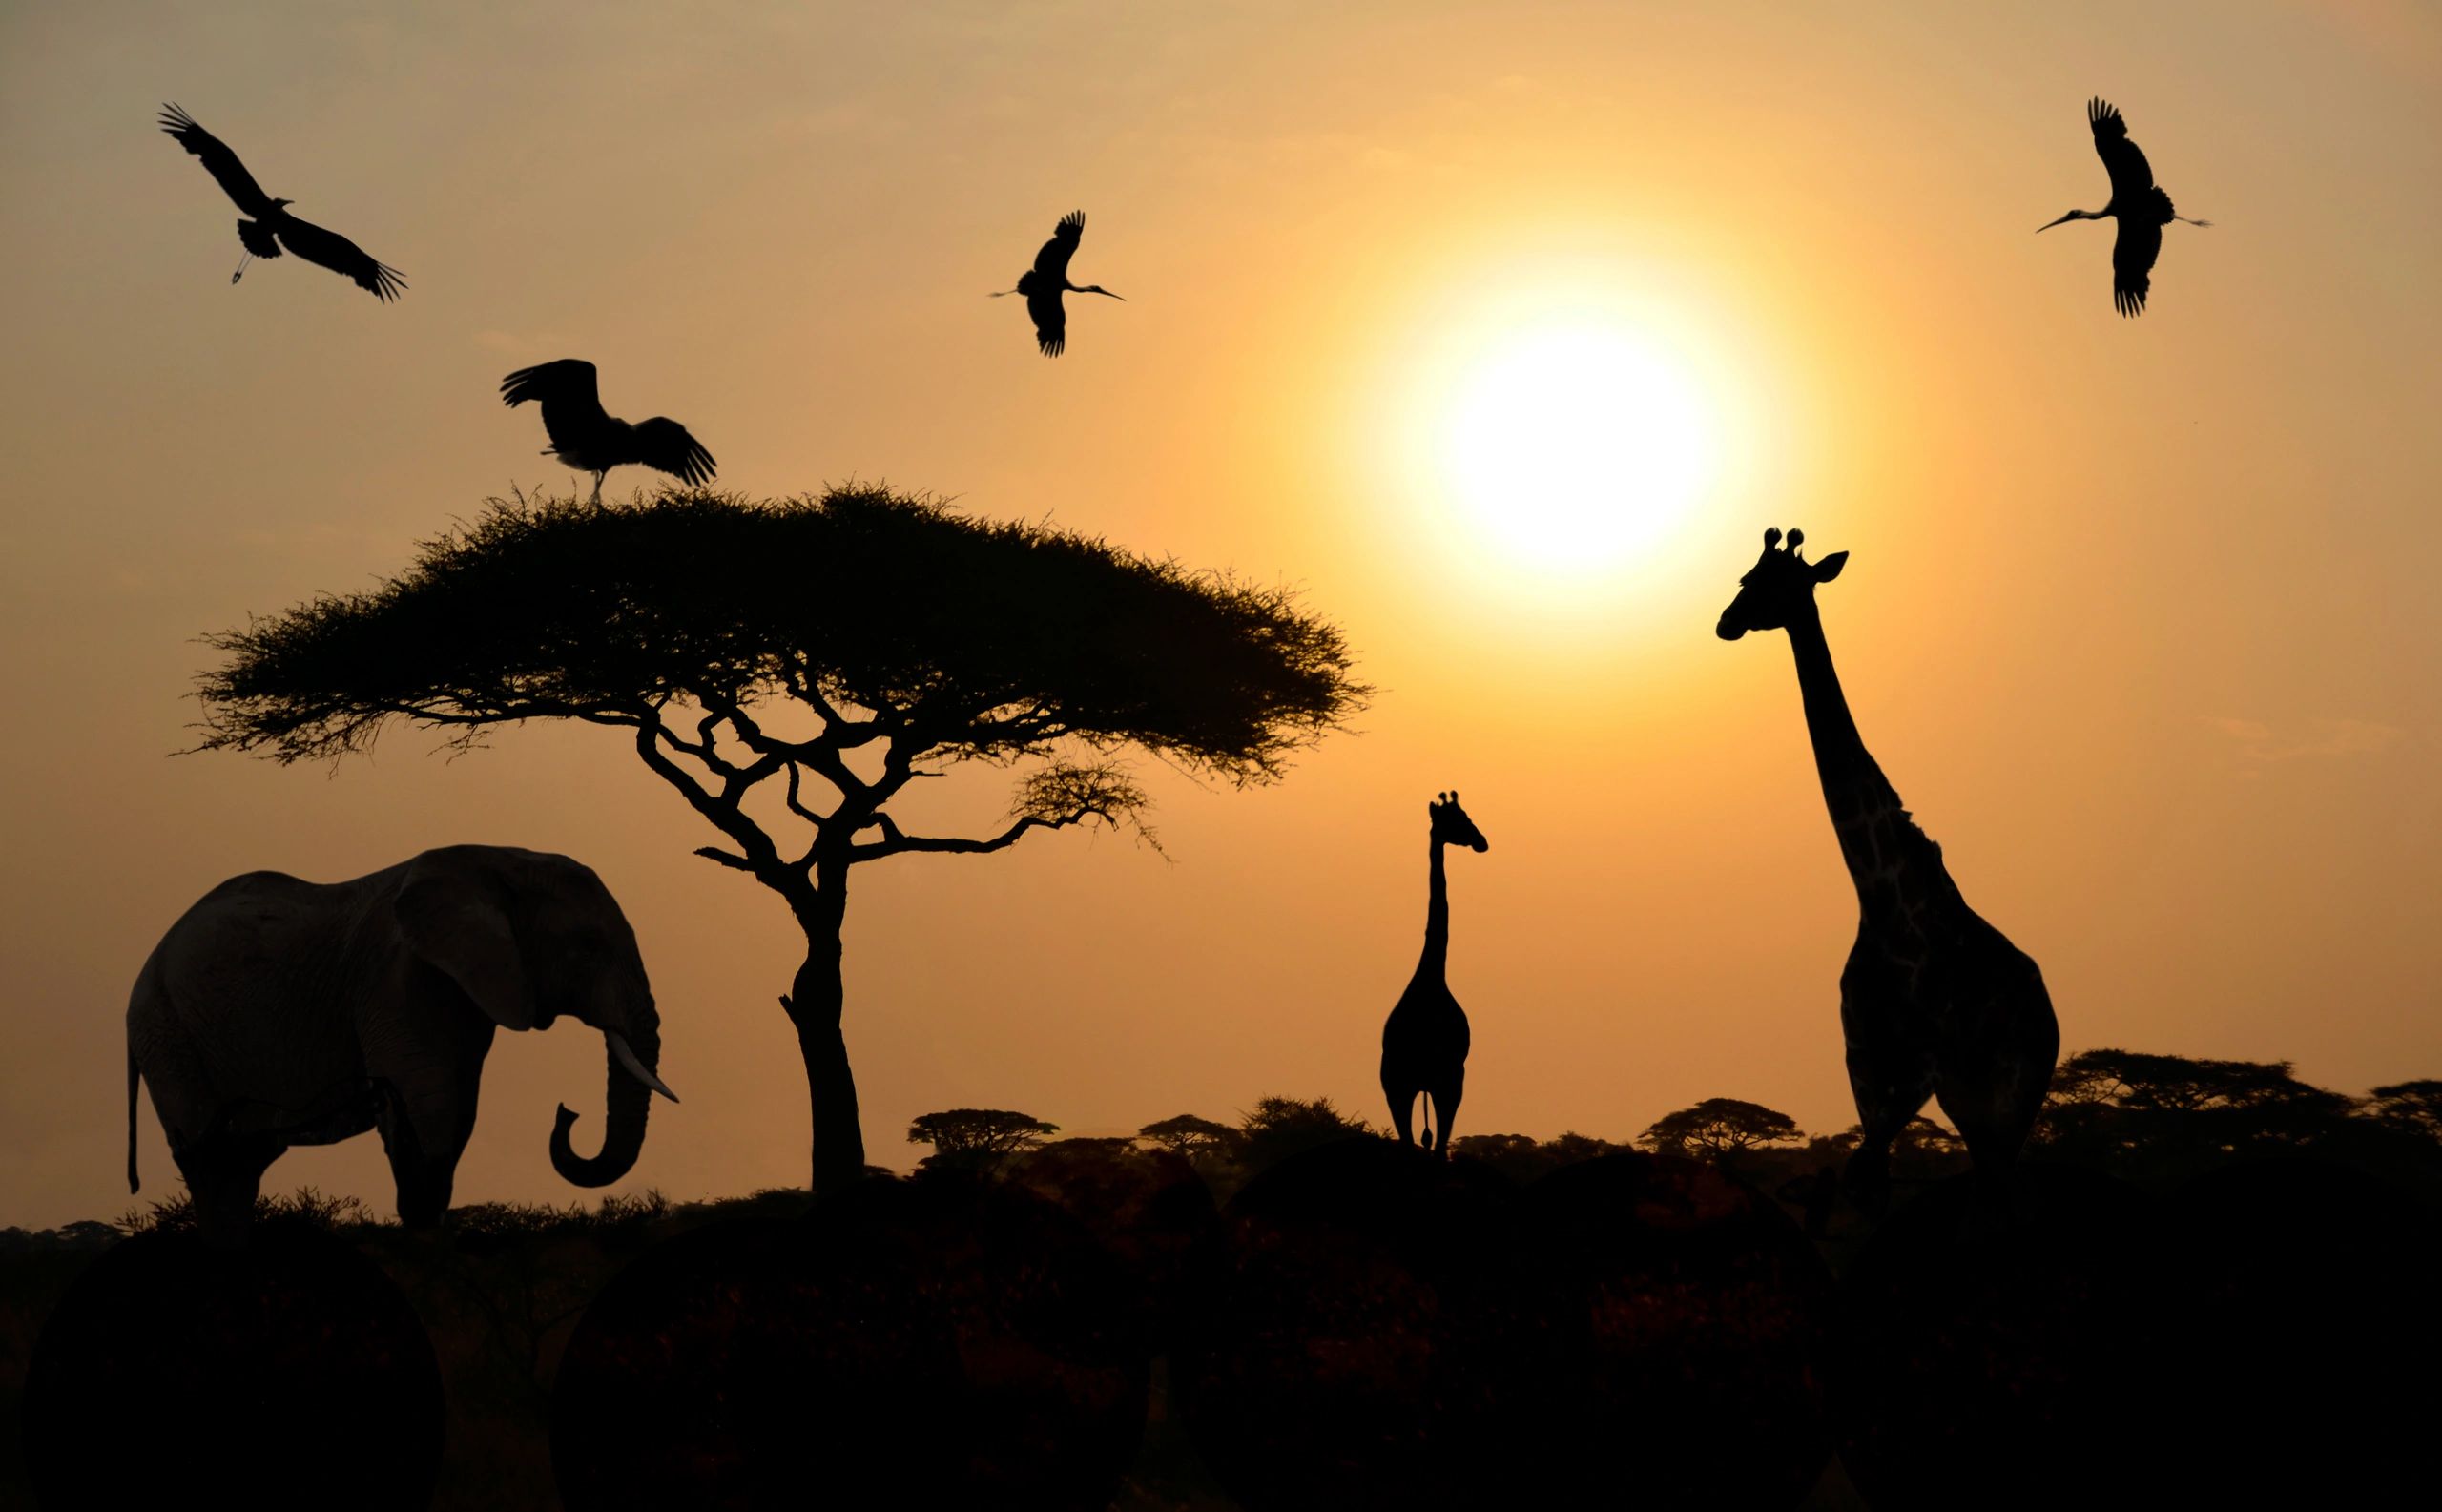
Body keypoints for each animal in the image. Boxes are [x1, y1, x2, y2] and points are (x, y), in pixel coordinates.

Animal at [1381, 791, 1489, 1156]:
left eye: (1466, 815)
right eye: (1457, 819)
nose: (1482, 841)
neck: (1430, 979)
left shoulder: (1443, 1082)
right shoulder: (1447, 1082)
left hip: (1418, 1086)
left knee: (1423, 1144)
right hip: (1410, 1086)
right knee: (1424, 1145)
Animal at [1717, 528, 2058, 1214]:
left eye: (1771, 583)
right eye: (1746, 577)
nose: (1725, 622)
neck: (1878, 892)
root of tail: (2053, 1013)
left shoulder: (1919, 1072)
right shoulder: (1866, 1068)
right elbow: (1858, 1186)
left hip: (2008, 1097)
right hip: (1979, 1106)